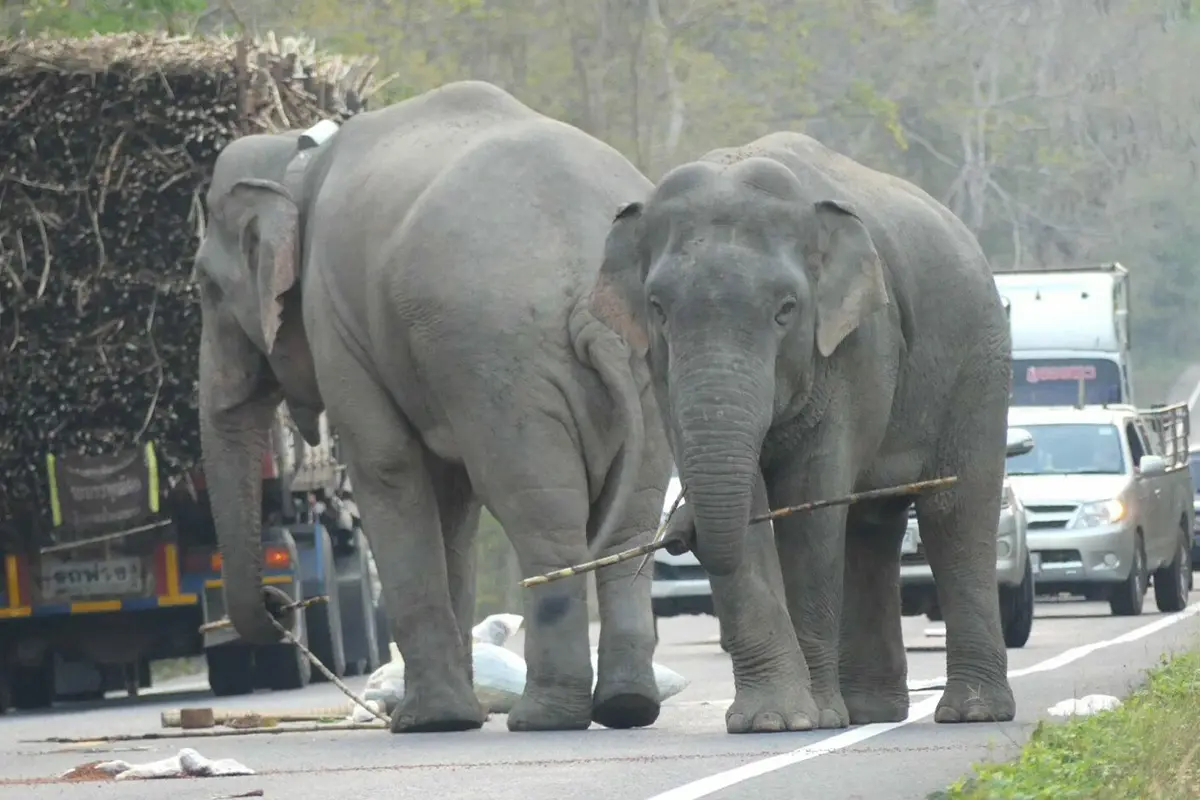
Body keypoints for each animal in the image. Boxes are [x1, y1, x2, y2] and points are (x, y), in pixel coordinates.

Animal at [193, 80, 671, 733]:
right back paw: (627, 706)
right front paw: (453, 714)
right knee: (631, 522)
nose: (277, 603)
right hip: (644, 369)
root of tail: (593, 311)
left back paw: (542, 717)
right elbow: (451, 498)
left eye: (204, 287)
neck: (296, 156)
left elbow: (387, 466)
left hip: (501, 361)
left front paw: (426, 722)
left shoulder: (335, 317)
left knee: (540, 512)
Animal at [590, 131, 1015, 734]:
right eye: (658, 308)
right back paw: (870, 712)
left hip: (979, 363)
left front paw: (805, 719)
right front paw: (771, 721)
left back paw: (970, 713)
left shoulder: (855, 347)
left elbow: (809, 502)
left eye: (786, 310)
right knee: (871, 526)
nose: (678, 535)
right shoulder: (662, 372)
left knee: (955, 513)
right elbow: (751, 502)